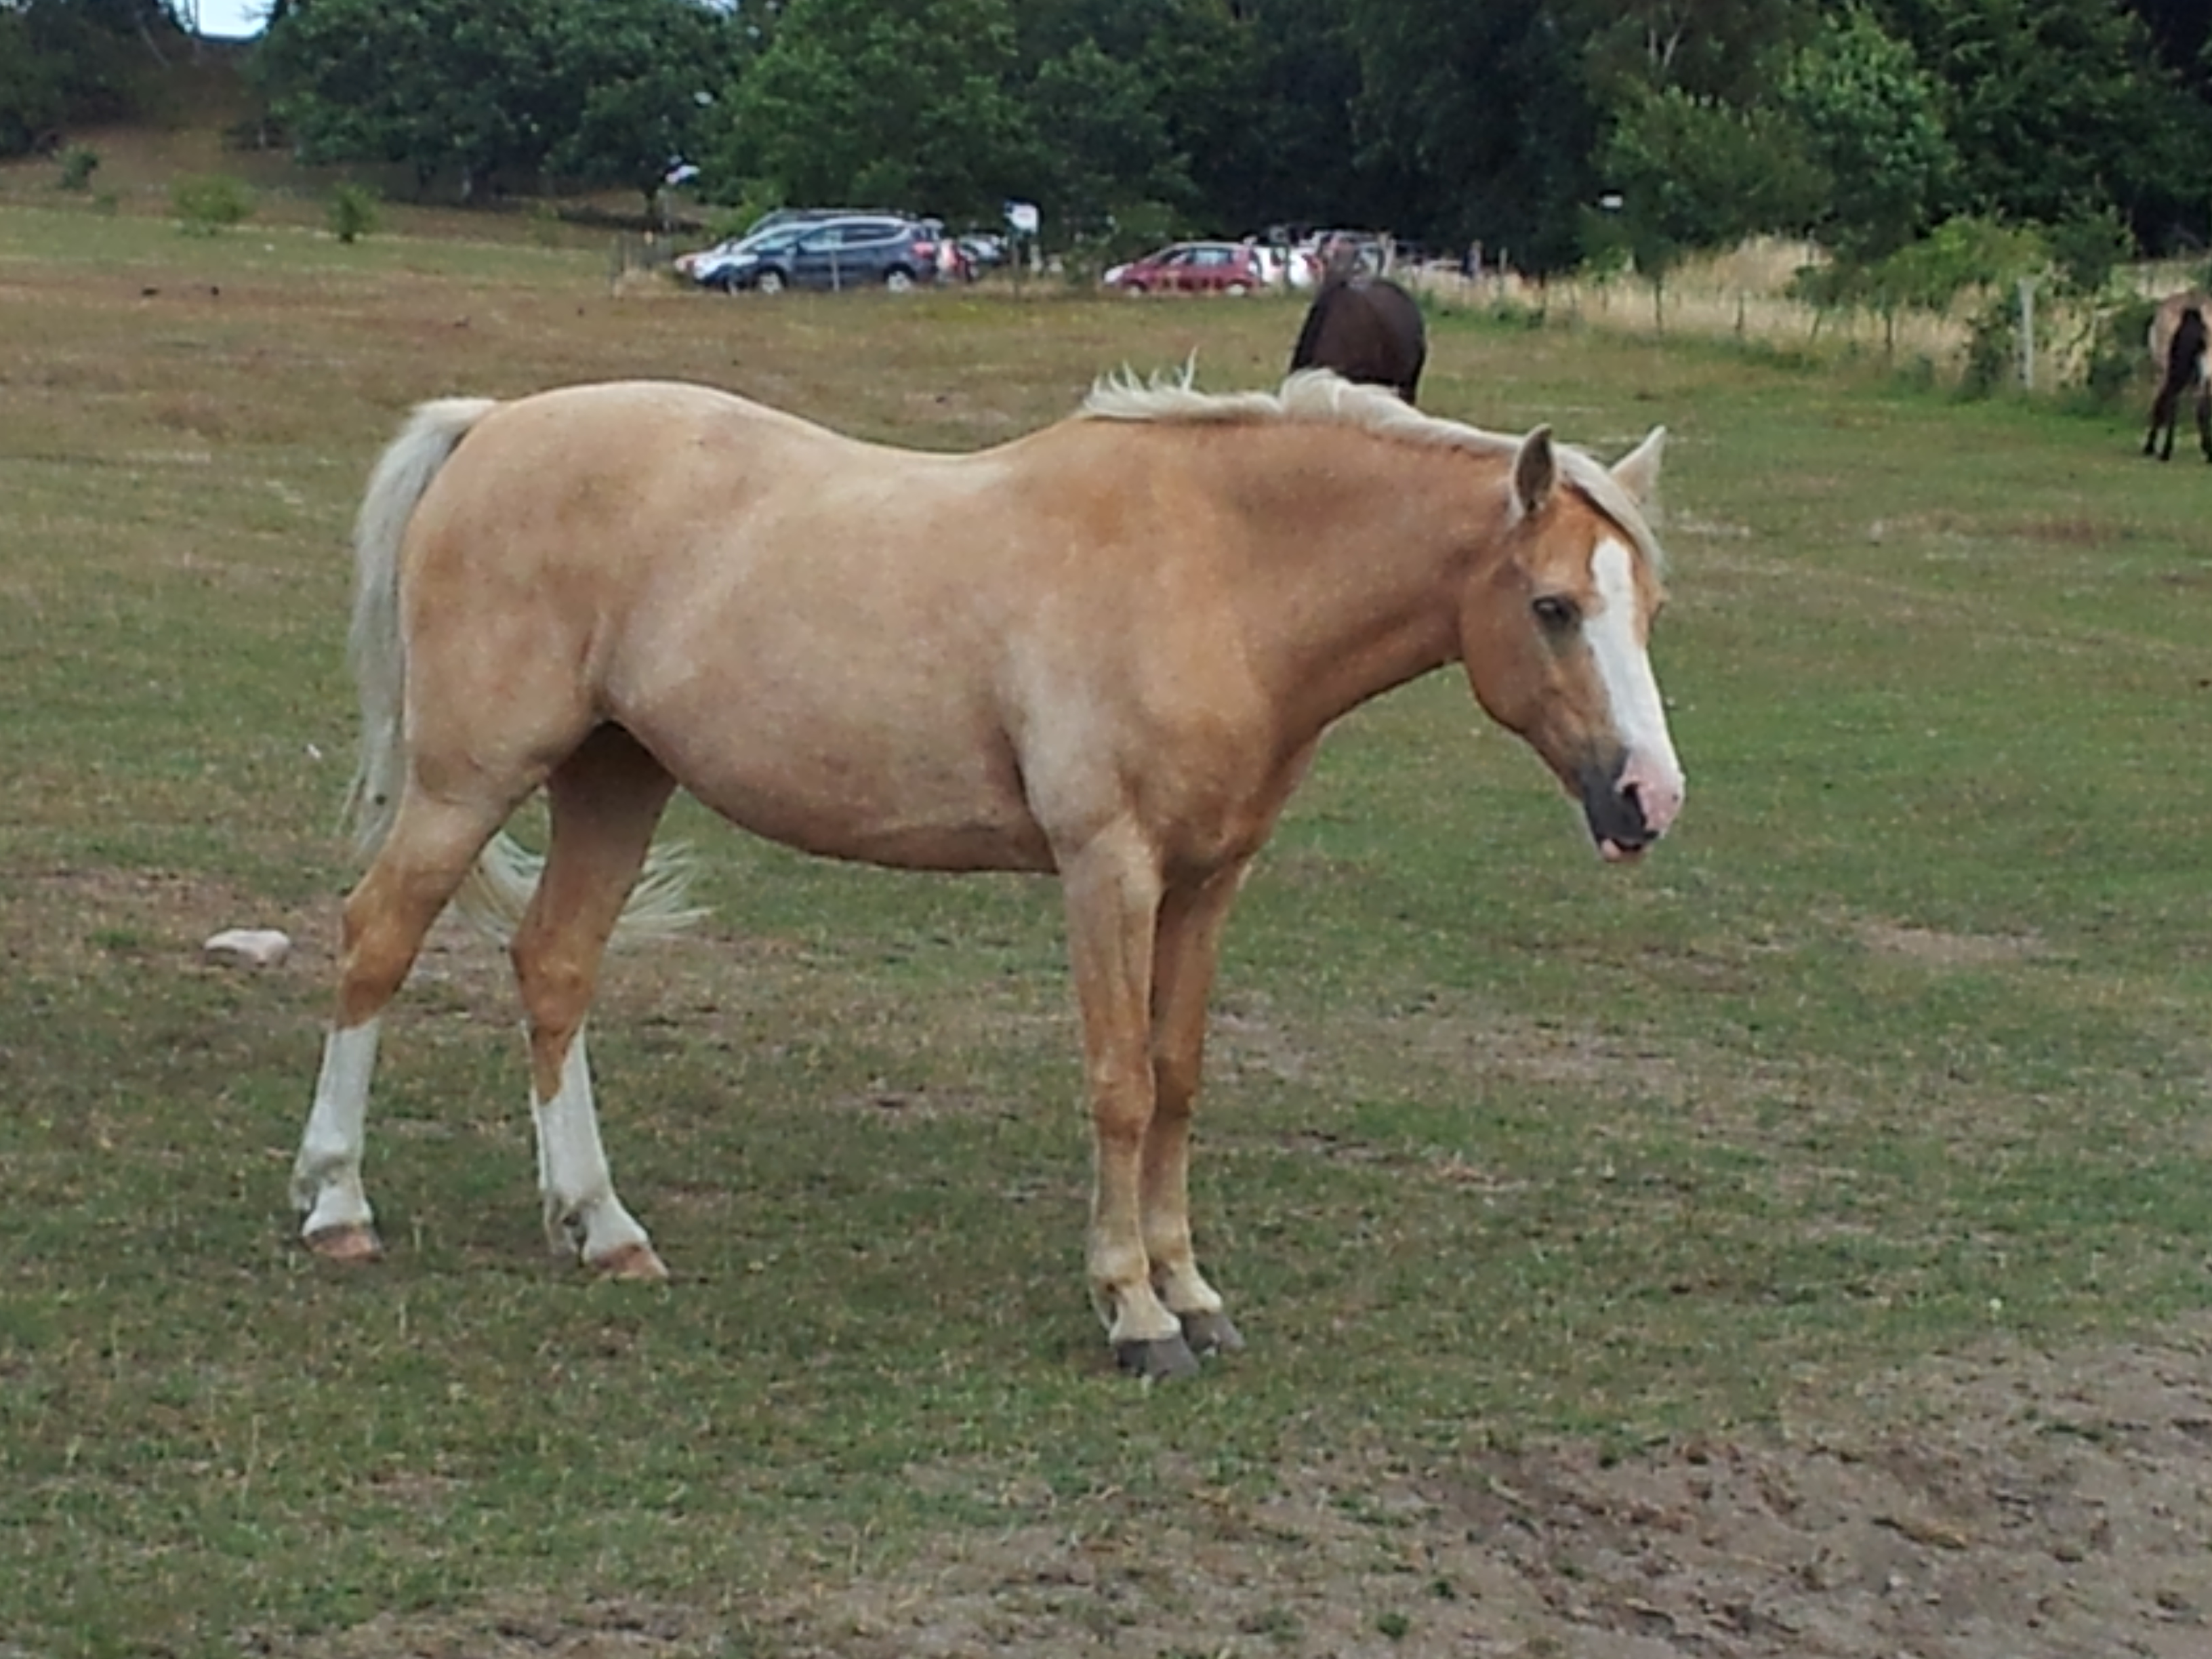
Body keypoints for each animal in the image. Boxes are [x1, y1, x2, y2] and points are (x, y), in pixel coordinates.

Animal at [289, 369, 1672, 1380]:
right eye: (1553, 606)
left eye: (1645, 605)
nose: (1647, 801)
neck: (1217, 573)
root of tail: (489, 426)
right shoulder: (1107, 868)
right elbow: (1120, 1087)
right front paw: (1134, 1313)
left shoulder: (1206, 883)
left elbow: (1178, 1079)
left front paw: (1192, 1291)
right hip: (470, 781)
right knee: (376, 941)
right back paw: (338, 1206)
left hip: (614, 779)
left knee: (555, 968)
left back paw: (602, 1227)